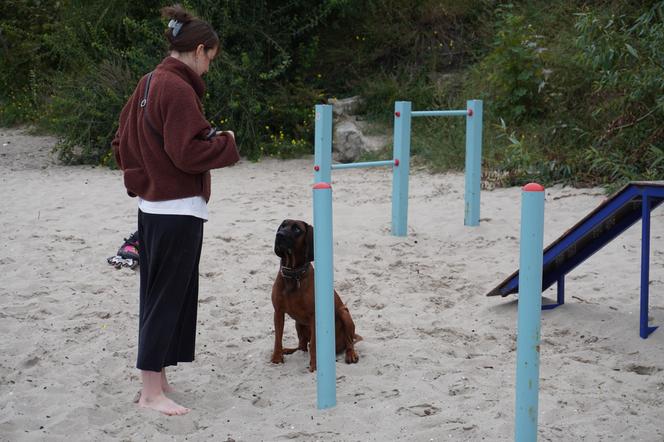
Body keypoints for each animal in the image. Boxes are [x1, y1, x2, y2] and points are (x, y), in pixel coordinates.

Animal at [272, 219, 360, 372]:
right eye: (282, 225)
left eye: (297, 229)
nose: (279, 235)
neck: (294, 274)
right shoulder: (278, 312)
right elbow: (278, 338)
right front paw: (277, 358)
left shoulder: (314, 317)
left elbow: (314, 344)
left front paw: (314, 366)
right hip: (298, 323)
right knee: (302, 347)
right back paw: (290, 350)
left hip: (344, 313)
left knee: (349, 342)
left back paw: (351, 354)